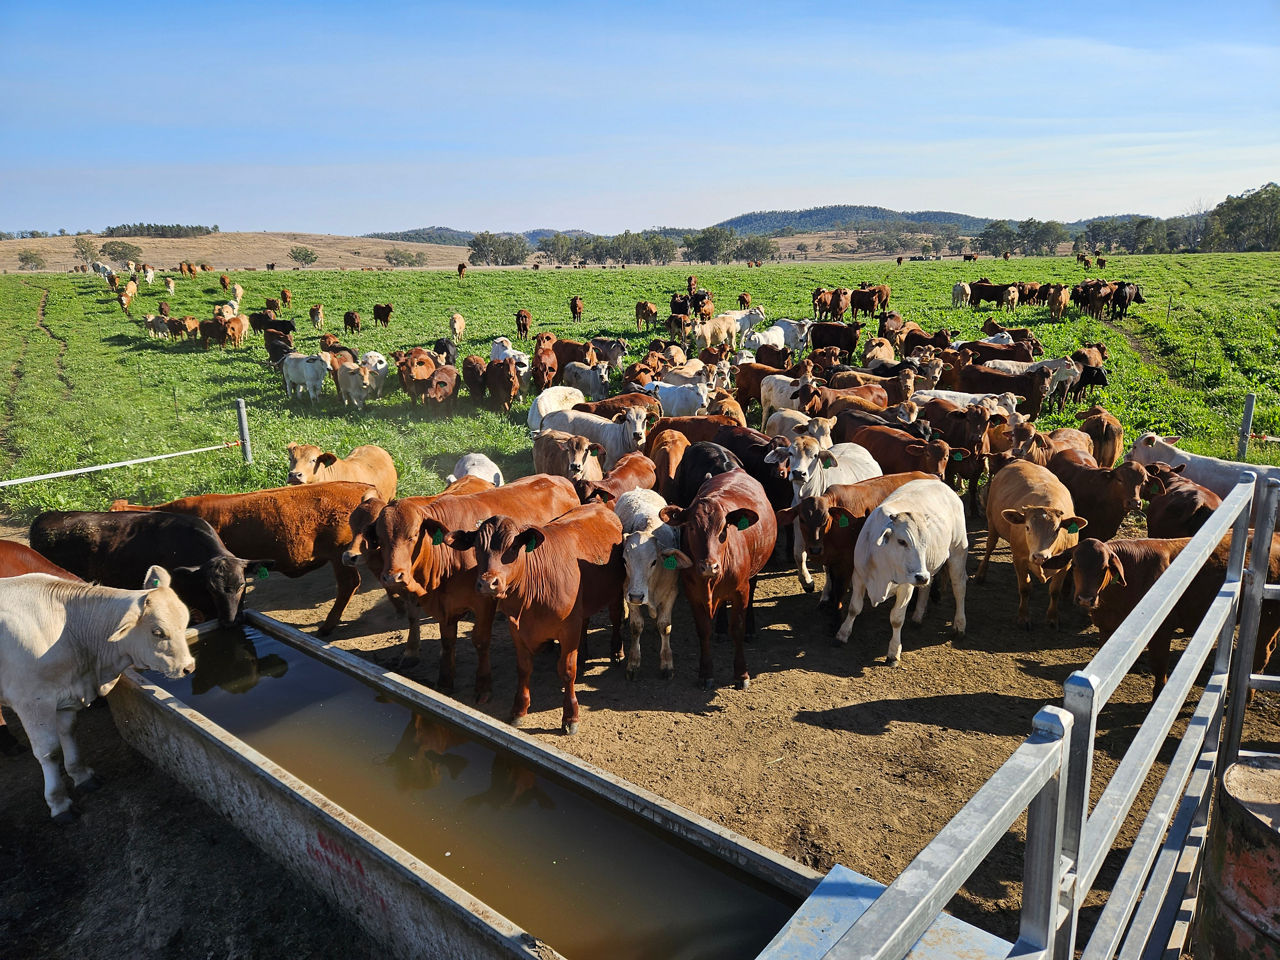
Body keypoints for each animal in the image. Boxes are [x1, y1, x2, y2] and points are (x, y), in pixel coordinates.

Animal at [0, 569, 194, 820]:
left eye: (185, 622)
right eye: (158, 632)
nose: (189, 667)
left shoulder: (67, 694)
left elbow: (69, 733)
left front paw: (81, 776)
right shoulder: (32, 702)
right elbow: (49, 752)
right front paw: (59, 802)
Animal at [440, 503, 623, 733]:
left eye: (512, 548)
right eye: (477, 548)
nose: (488, 583)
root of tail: (599, 504)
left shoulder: (568, 629)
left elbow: (567, 671)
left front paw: (570, 716)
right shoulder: (516, 629)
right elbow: (524, 668)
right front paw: (519, 710)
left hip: (617, 591)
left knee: (616, 616)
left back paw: (617, 652)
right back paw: (583, 657)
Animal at [659, 470, 777, 689]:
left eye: (724, 528)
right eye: (691, 527)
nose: (709, 566)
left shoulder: (740, 591)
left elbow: (737, 629)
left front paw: (741, 674)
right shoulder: (693, 595)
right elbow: (703, 630)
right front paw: (706, 673)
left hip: (754, 573)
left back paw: (750, 630)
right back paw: (721, 630)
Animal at [833, 478, 968, 663]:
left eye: (925, 542)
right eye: (902, 541)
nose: (921, 577)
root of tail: (944, 486)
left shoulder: (906, 587)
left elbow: (896, 619)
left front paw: (893, 652)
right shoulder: (859, 576)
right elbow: (855, 607)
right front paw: (843, 633)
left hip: (958, 551)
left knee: (959, 588)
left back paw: (960, 625)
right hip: (928, 567)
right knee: (927, 587)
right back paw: (918, 616)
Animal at [976, 460, 1086, 629]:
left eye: (1057, 530)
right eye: (1027, 527)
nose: (1039, 556)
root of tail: (1019, 460)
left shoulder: (1065, 565)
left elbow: (1055, 591)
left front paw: (1052, 618)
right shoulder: (1018, 559)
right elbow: (1024, 588)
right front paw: (1023, 617)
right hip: (992, 522)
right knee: (990, 546)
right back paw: (981, 574)